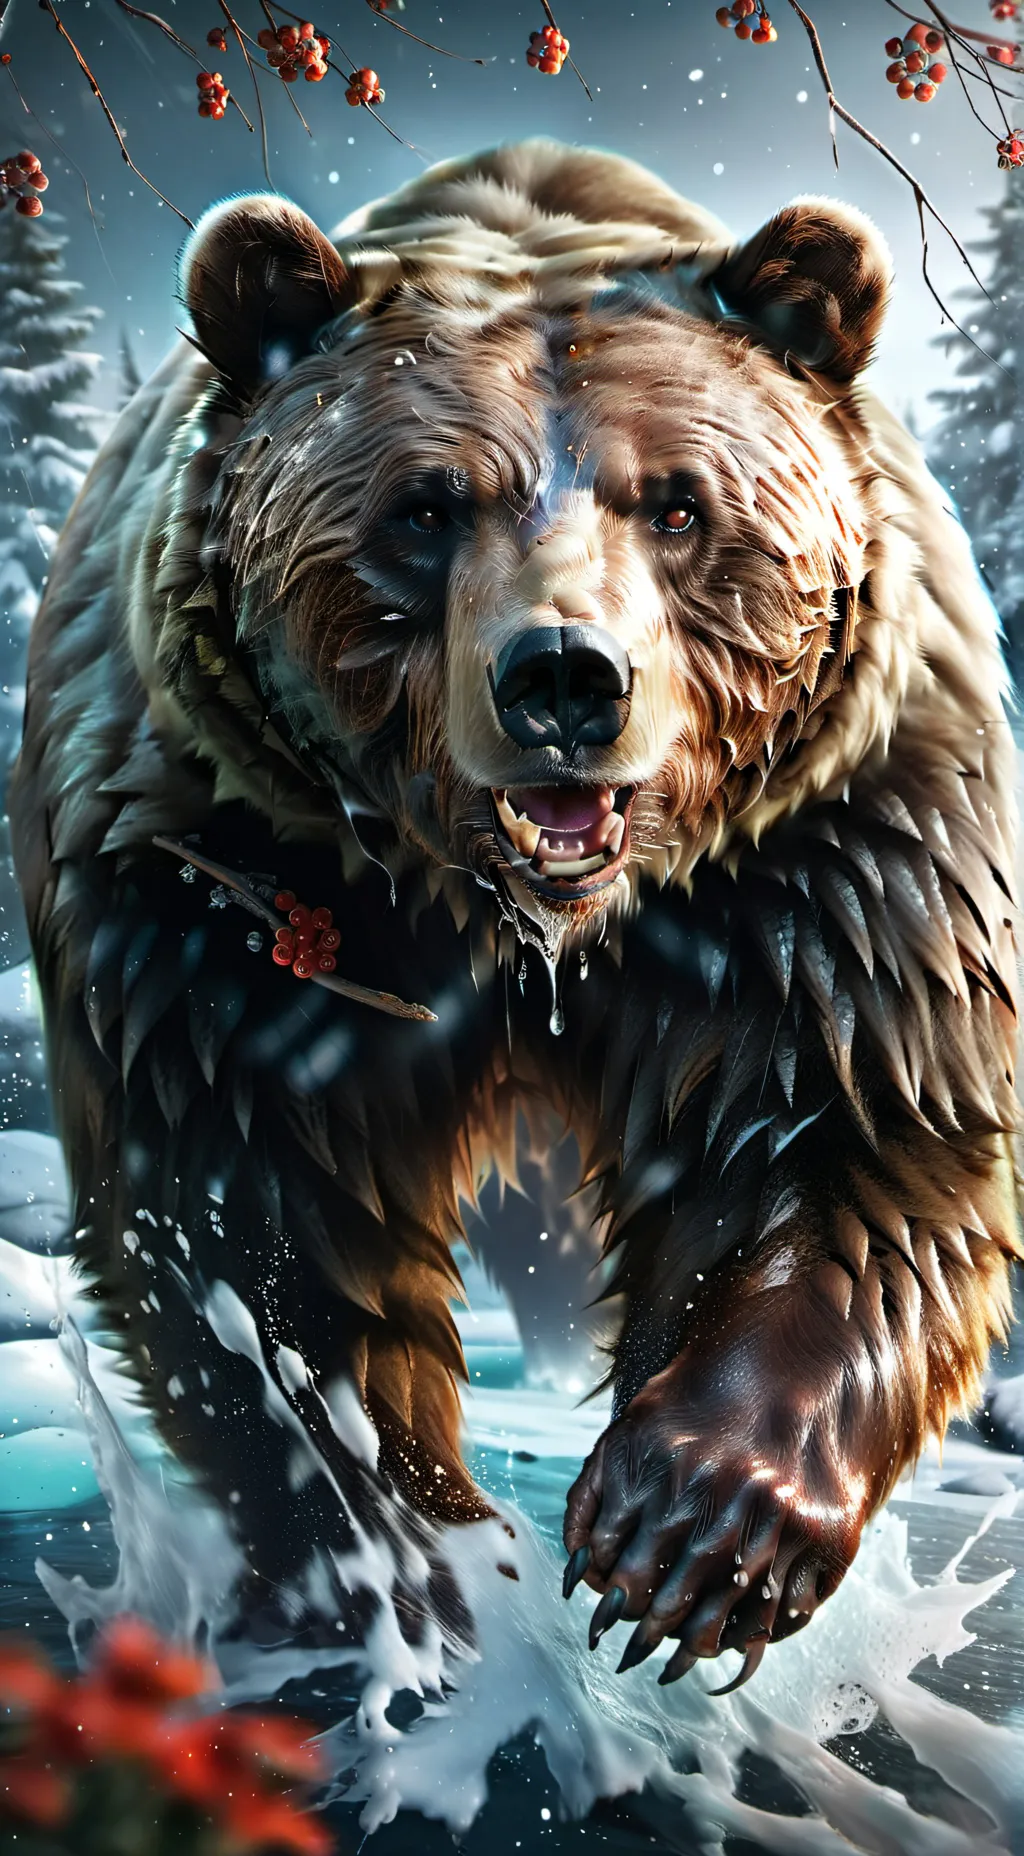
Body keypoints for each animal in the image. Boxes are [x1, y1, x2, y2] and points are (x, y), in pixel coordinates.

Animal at [10, 137, 1020, 1692]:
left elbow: (852, 1133)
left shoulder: (832, 855)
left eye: (678, 503)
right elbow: (257, 1223)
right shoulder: (216, 875)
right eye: (425, 506)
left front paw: (682, 1534)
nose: (565, 679)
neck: (523, 922)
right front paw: (415, 1553)